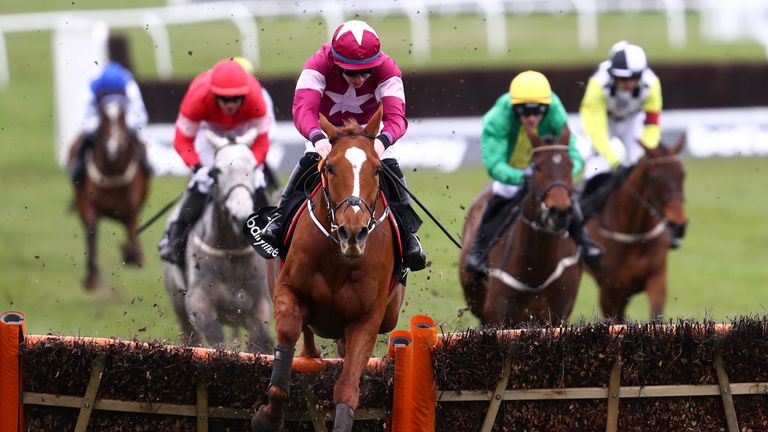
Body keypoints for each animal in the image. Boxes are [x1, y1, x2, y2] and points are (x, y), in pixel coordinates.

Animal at [67, 96, 150, 292]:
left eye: (123, 117)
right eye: (103, 117)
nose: (115, 147)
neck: (113, 172)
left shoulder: (131, 211)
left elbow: (132, 235)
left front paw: (133, 256)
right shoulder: (89, 205)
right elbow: (92, 231)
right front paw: (92, 277)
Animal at [162, 129, 272, 354]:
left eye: (252, 167)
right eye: (218, 170)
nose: (241, 215)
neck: (231, 250)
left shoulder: (261, 308)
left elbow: (259, 342)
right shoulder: (198, 303)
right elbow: (215, 340)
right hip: (180, 308)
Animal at [252, 105, 402, 432]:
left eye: (377, 169)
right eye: (330, 168)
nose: (353, 232)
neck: (339, 260)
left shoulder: (369, 318)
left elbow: (347, 386)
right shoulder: (287, 290)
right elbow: (289, 334)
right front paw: (269, 416)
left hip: (391, 314)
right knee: (308, 338)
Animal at [460, 133, 580, 326]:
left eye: (570, 165)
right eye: (538, 167)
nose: (560, 211)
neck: (536, 275)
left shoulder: (557, 318)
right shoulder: (498, 318)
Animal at [584, 137, 688, 322]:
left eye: (682, 174)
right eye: (654, 177)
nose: (678, 225)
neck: (634, 232)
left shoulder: (656, 278)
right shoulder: (609, 290)